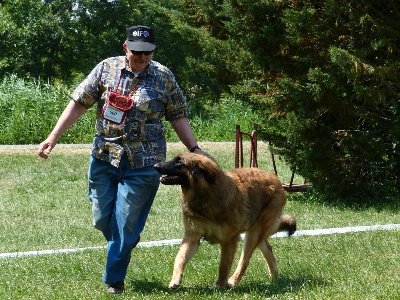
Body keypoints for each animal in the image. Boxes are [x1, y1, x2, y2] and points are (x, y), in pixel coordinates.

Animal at [155, 152, 296, 288]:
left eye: (179, 162)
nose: (156, 165)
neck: (204, 198)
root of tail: (275, 178)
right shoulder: (192, 238)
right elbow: (180, 258)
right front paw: (175, 280)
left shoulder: (229, 240)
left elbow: (223, 266)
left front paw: (220, 285)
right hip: (256, 232)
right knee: (267, 248)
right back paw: (274, 277)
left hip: (253, 234)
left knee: (244, 261)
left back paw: (233, 281)